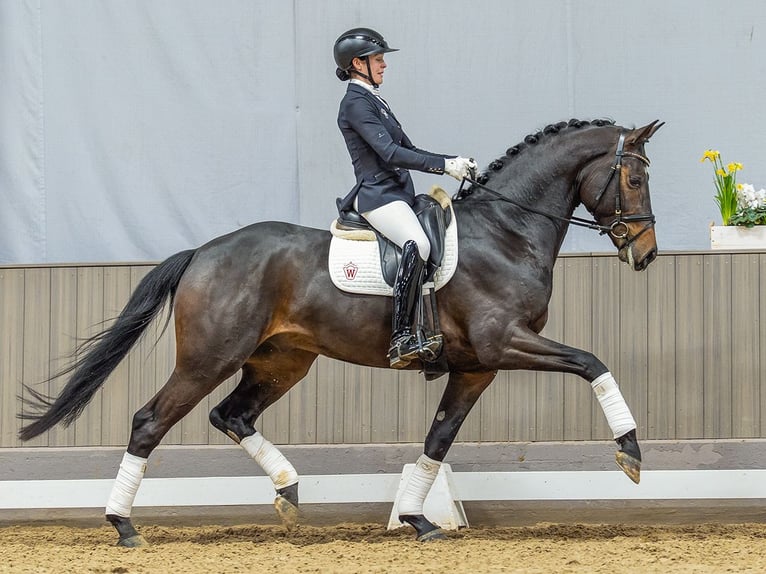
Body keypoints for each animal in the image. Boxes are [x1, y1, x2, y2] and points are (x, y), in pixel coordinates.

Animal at [19, 118, 663, 546]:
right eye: (633, 179)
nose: (647, 253)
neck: (506, 232)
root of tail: (203, 251)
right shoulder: (502, 341)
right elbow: (592, 361)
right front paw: (630, 452)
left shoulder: (476, 367)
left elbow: (438, 440)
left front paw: (418, 519)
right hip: (209, 358)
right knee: (150, 421)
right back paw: (124, 524)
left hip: (281, 361)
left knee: (232, 415)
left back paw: (288, 493)